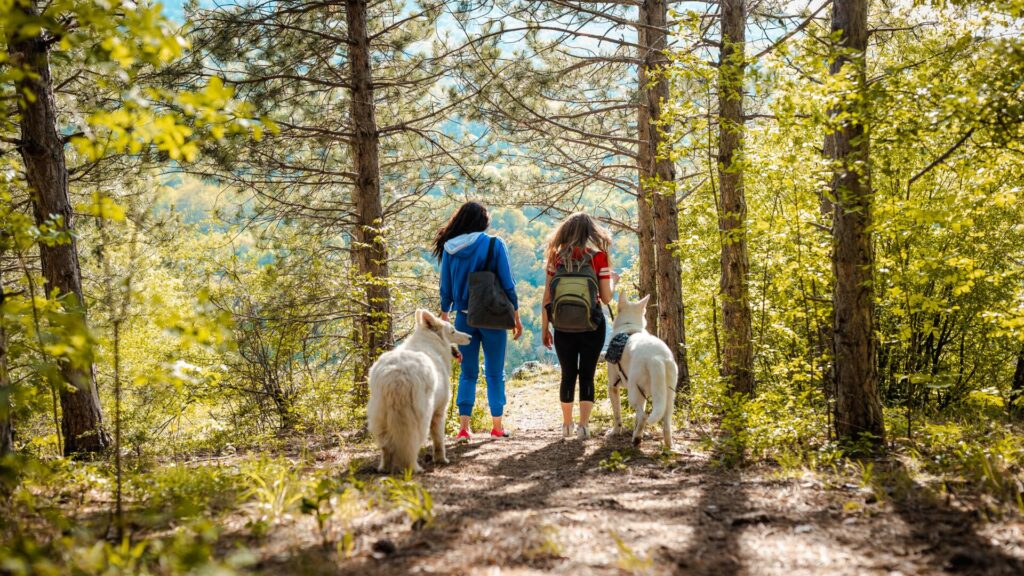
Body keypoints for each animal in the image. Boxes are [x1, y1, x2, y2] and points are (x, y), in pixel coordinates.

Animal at [366, 309, 468, 471]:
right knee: (411, 443)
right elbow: (439, 440)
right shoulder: (439, 412)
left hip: (380, 417)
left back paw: (385, 468)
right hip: (420, 417)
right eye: (453, 331)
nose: (470, 337)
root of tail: (396, 375)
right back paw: (413, 468)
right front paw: (441, 459)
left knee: (386, 447)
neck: (431, 342)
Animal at [606, 293, 679, 450]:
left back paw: (637, 439)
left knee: (643, 415)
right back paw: (667, 446)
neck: (628, 325)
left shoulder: (612, 386)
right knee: (666, 423)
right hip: (668, 395)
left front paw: (615, 431)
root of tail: (657, 357)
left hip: (633, 392)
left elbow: (617, 414)